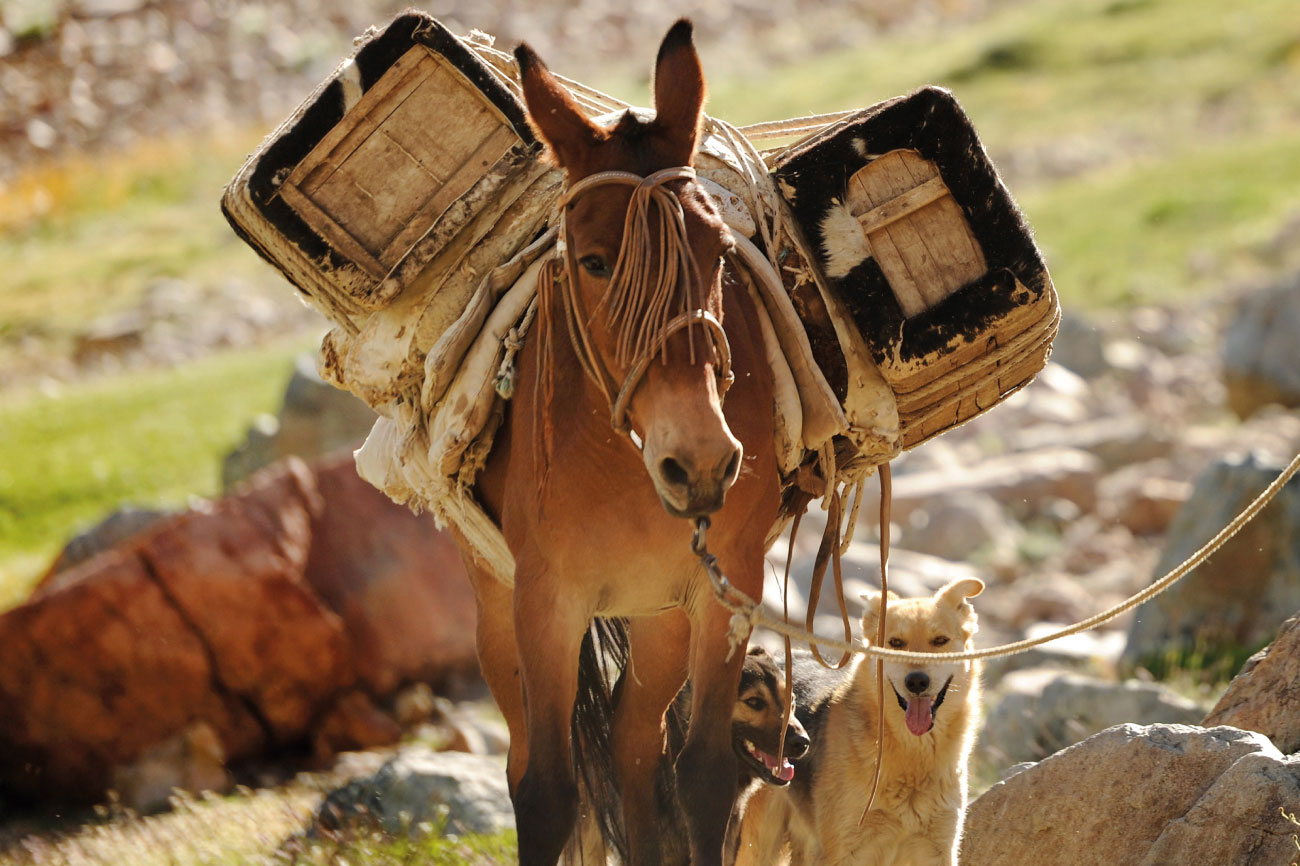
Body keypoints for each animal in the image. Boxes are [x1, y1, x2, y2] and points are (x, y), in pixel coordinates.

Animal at [733, 572, 982, 863]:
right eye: (895, 643)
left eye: (940, 641)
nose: (917, 682)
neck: (912, 756)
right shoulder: (846, 851)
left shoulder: (935, 849)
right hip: (757, 845)